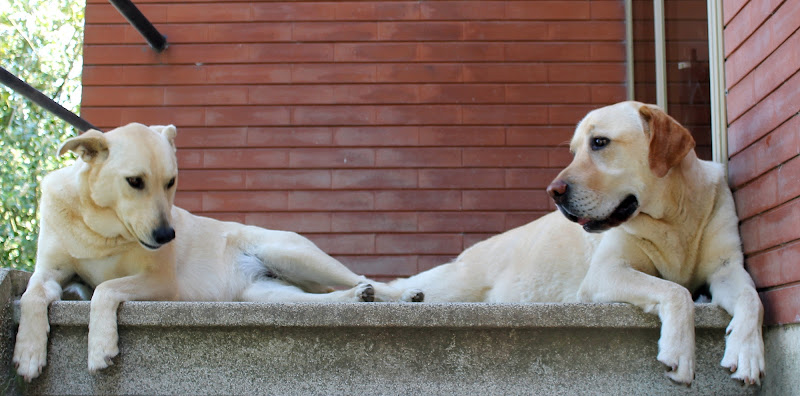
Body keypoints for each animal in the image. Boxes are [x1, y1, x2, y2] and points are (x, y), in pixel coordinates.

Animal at [14, 123, 424, 380]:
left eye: (171, 182)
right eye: (134, 182)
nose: (168, 235)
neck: (101, 230)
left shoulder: (160, 281)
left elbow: (104, 289)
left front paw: (100, 346)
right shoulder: (49, 272)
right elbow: (33, 294)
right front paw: (29, 352)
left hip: (291, 253)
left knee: (363, 277)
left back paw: (401, 295)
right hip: (264, 295)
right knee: (317, 301)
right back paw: (355, 298)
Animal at [390, 100, 764, 386]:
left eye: (599, 142)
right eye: (574, 150)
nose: (553, 192)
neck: (671, 218)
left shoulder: (727, 268)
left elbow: (752, 299)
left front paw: (747, 353)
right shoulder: (604, 272)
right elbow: (675, 290)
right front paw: (680, 350)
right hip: (459, 282)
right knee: (398, 284)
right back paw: (391, 296)